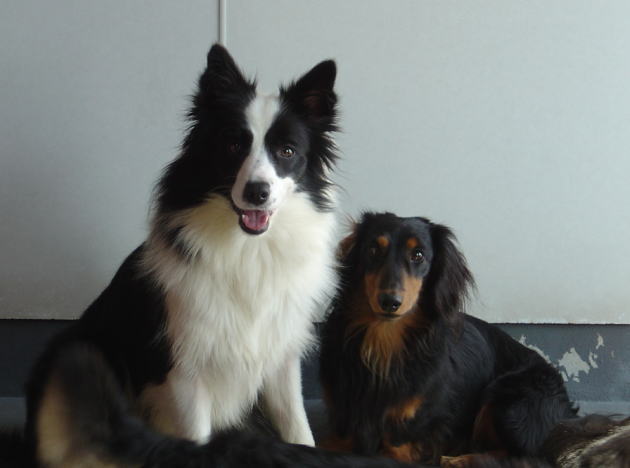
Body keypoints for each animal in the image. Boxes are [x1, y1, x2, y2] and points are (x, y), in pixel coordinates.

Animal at [13, 44, 351, 467]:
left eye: (287, 151)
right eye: (232, 145)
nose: (257, 192)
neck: (248, 250)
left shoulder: (280, 357)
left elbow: (298, 428)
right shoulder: (186, 371)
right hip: (77, 349)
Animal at [319, 212, 579, 467]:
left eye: (418, 255)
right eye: (373, 249)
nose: (389, 302)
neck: (384, 345)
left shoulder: (405, 443)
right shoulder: (340, 430)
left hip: (509, 399)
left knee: (523, 455)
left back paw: (459, 460)